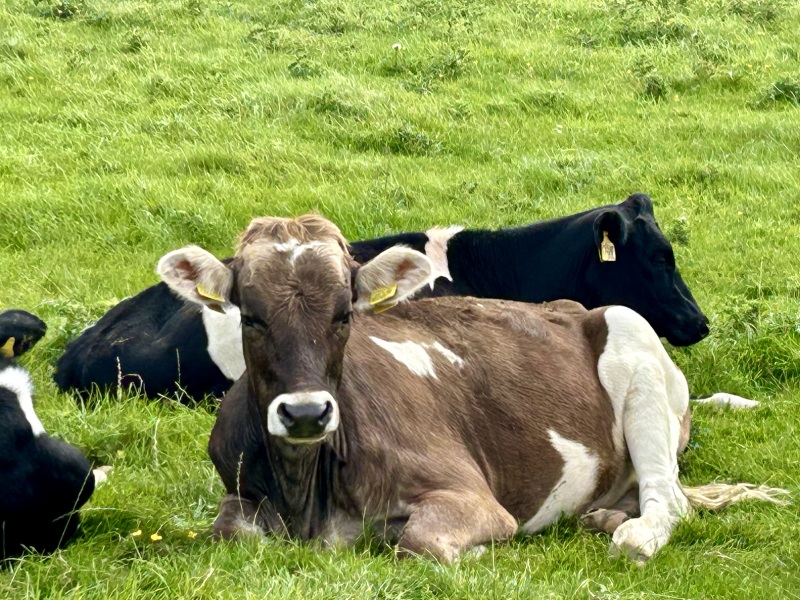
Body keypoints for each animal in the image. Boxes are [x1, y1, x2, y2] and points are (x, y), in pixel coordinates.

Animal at [157, 214, 783, 564]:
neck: (307, 496)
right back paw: (603, 517)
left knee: (668, 499)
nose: (307, 413)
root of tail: (574, 307)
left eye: (344, 314)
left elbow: (419, 545)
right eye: (250, 316)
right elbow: (228, 531)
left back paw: (630, 533)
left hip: (638, 356)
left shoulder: (470, 496)